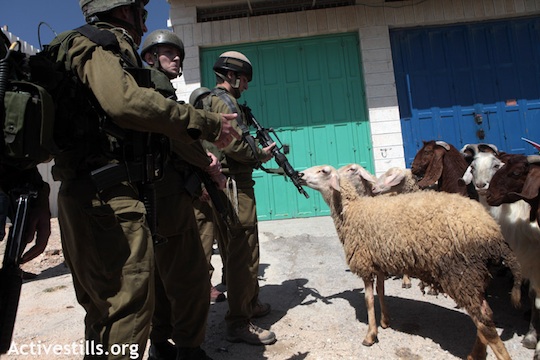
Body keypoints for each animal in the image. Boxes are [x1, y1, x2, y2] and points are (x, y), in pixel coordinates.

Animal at [300, 165, 524, 360]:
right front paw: (385, 321)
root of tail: (492, 232)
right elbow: (381, 291)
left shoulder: (365, 263)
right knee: (486, 317)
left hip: (461, 274)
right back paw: (475, 354)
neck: (351, 209)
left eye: (323, 171)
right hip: (476, 276)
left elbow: (368, 299)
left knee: (484, 323)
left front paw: (370, 335)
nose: (300, 174)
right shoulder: (379, 260)